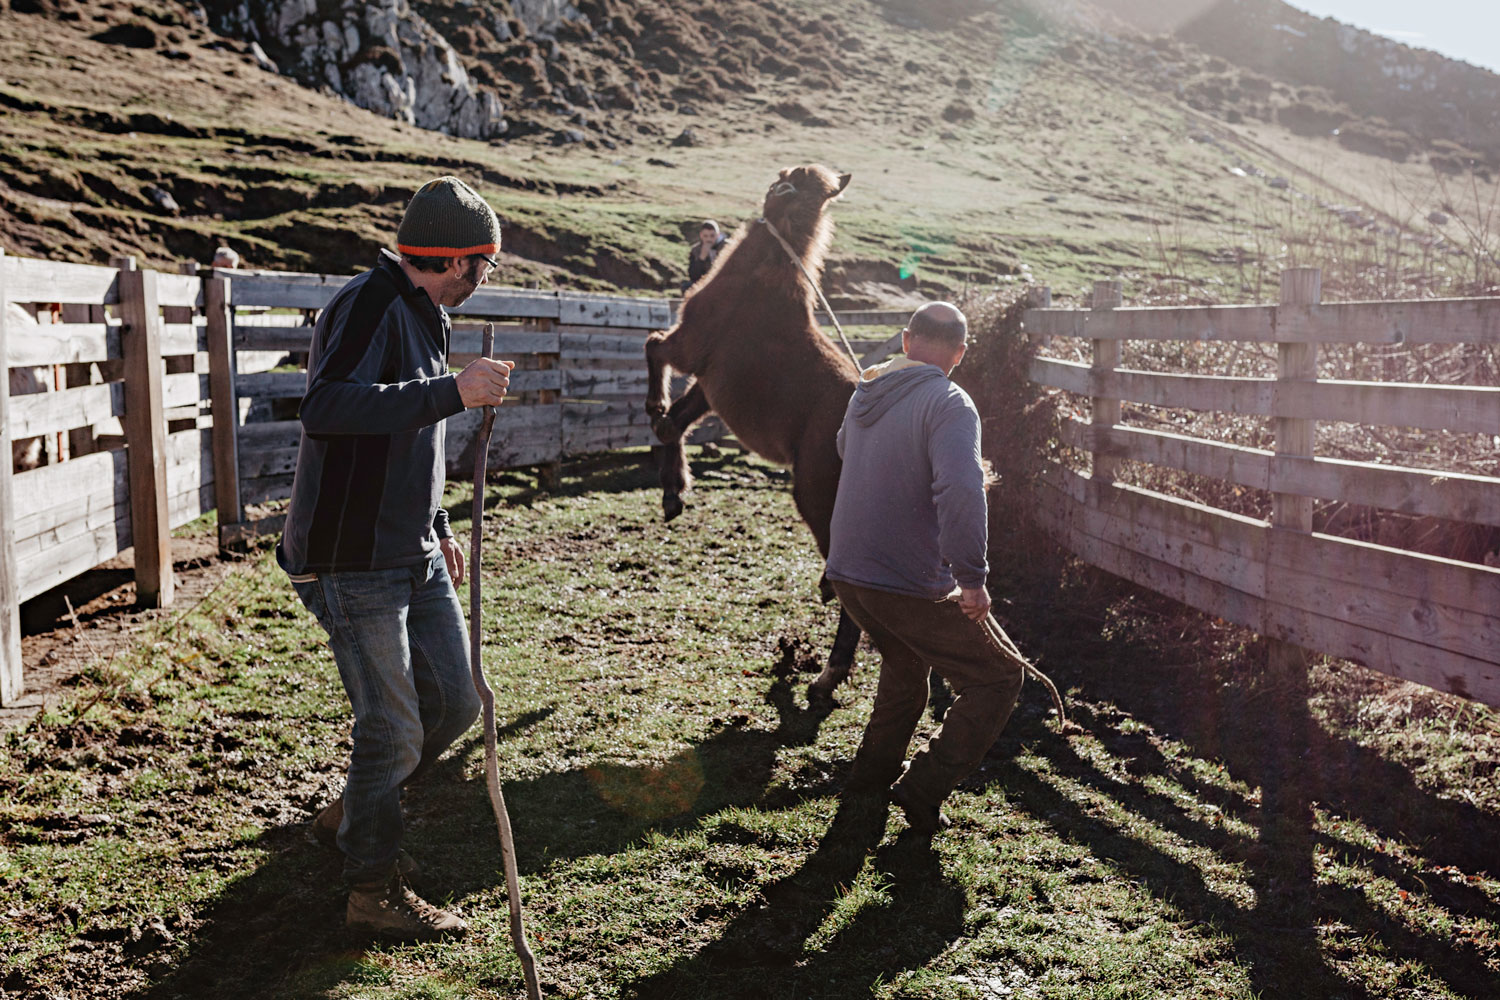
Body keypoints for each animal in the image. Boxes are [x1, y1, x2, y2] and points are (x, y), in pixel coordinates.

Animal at [648, 164, 870, 704]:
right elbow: (675, 423)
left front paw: (654, 410)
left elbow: (653, 350)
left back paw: (826, 677)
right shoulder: (710, 386)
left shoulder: (688, 348)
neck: (756, 283)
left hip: (818, 500)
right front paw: (674, 492)